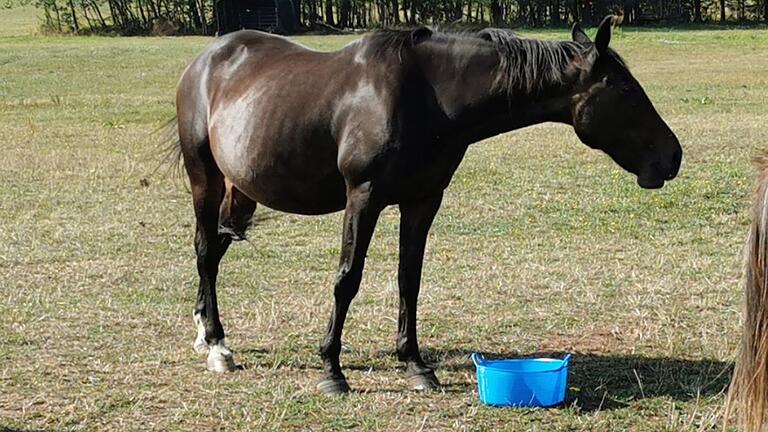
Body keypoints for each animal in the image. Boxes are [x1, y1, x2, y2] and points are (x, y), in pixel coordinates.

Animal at [171, 16, 680, 394]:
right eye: (627, 91)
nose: (673, 156)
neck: (425, 97)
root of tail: (207, 59)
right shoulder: (363, 196)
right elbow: (347, 279)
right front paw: (332, 370)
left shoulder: (422, 201)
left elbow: (408, 281)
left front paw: (415, 364)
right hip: (204, 178)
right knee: (204, 252)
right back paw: (217, 347)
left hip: (241, 188)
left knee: (215, 250)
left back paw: (204, 331)